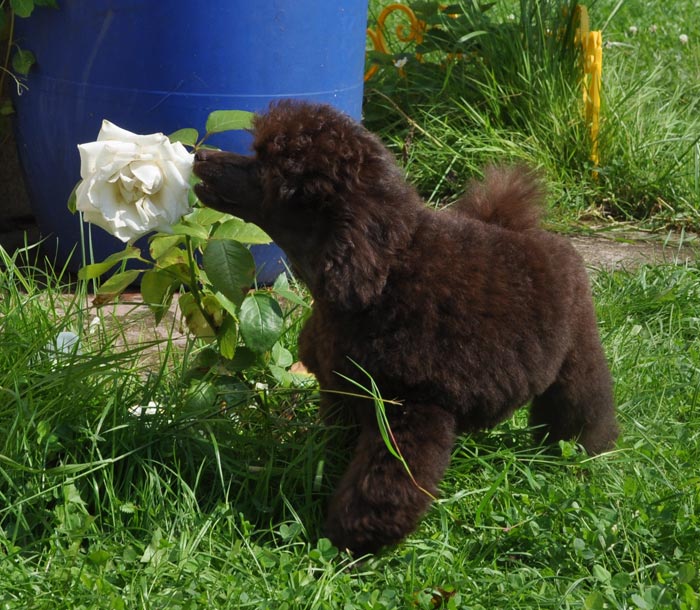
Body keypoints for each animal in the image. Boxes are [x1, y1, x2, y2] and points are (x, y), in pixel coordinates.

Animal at [193, 100, 616, 556]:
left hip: (577, 354)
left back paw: (584, 453)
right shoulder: (344, 393)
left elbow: (381, 488)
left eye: (265, 169)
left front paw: (351, 542)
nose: (201, 156)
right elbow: (341, 452)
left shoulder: (409, 410)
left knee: (582, 407)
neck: (379, 279)